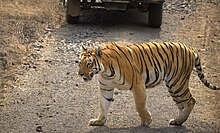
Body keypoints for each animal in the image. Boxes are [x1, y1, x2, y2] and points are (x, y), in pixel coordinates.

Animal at [77, 41, 218, 127]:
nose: (80, 74)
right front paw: (99, 121)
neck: (105, 71)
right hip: (173, 86)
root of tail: (189, 47)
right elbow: (103, 105)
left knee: (191, 101)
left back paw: (179, 120)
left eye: (89, 64)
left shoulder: (137, 84)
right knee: (182, 104)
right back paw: (178, 121)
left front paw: (147, 121)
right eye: (79, 63)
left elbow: (140, 105)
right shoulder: (106, 88)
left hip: (177, 83)